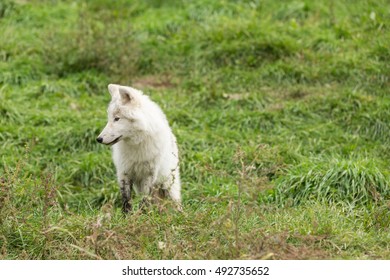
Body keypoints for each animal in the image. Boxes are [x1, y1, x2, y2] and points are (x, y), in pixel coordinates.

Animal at [97, 83, 183, 212]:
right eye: (109, 118)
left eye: (117, 118)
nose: (99, 139)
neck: (137, 144)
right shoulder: (124, 172)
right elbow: (126, 200)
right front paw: (127, 215)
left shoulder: (149, 175)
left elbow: (144, 200)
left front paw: (143, 214)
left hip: (168, 187)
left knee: (175, 203)